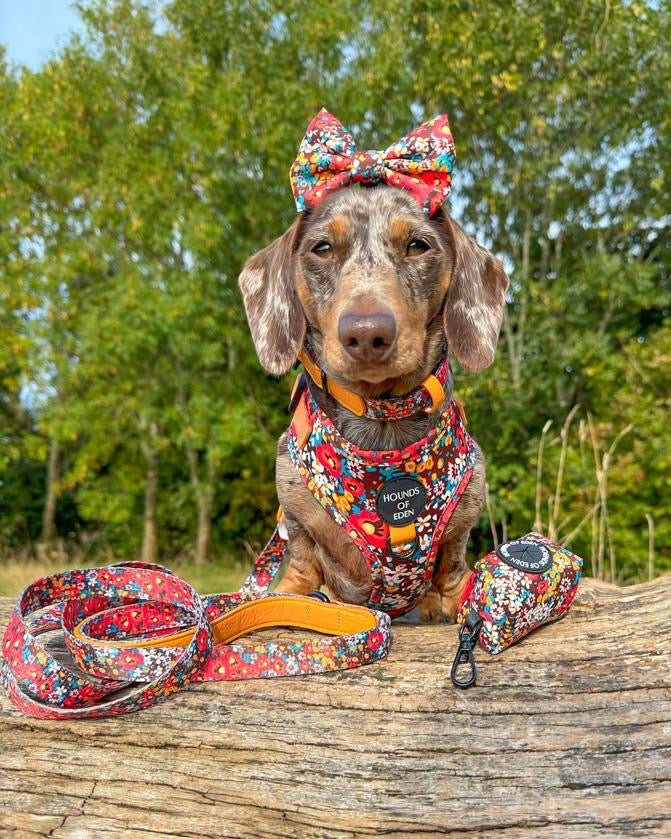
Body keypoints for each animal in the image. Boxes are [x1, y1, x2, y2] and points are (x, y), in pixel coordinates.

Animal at [239, 190, 506, 624]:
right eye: (322, 248)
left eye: (417, 245)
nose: (366, 334)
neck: (382, 422)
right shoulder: (295, 519)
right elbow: (302, 564)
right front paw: (290, 595)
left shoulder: (461, 525)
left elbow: (452, 569)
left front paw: (454, 602)